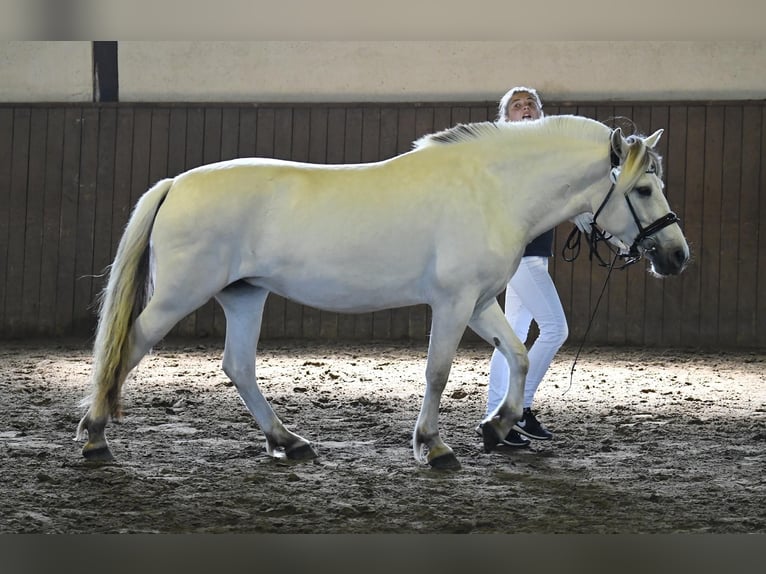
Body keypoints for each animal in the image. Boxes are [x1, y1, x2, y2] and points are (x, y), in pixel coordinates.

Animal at [75, 114, 689, 470]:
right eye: (643, 188)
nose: (677, 256)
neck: (492, 189)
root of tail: (175, 183)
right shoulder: (452, 303)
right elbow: (438, 372)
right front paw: (434, 446)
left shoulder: (479, 302)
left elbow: (516, 355)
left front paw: (496, 428)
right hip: (179, 296)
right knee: (126, 350)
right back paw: (95, 437)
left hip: (245, 296)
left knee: (239, 367)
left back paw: (289, 442)